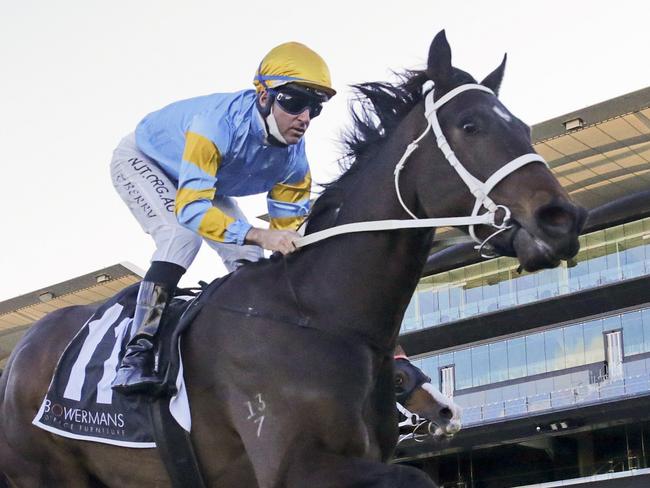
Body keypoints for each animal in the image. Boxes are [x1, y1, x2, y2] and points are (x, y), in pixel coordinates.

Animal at [0, 31, 584, 488]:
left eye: (523, 127)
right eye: (470, 126)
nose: (563, 219)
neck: (319, 315)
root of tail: (22, 349)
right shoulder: (296, 465)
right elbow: (416, 479)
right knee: (176, 236)